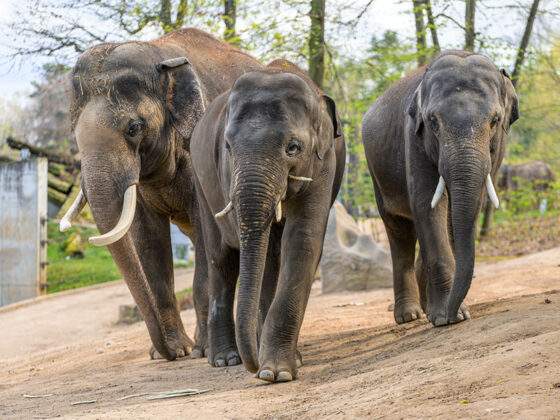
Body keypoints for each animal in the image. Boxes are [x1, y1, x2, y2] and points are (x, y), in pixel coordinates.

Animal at [60, 27, 262, 360]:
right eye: (74, 135)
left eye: (134, 128)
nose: (164, 352)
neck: (157, 53)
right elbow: (147, 237)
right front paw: (175, 352)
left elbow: (203, 232)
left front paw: (199, 351)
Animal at [190, 60, 344, 382]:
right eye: (227, 147)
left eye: (293, 147)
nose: (252, 367)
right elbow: (265, 253)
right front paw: (271, 370)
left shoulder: (324, 163)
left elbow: (303, 239)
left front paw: (276, 372)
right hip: (200, 183)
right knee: (221, 259)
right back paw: (224, 359)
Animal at [360, 50, 520, 328]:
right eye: (433, 122)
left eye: (495, 120)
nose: (453, 314)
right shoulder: (413, 136)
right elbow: (427, 203)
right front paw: (446, 318)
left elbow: (465, 207)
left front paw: (450, 314)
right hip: (377, 173)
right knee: (399, 231)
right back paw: (409, 316)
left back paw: (424, 310)